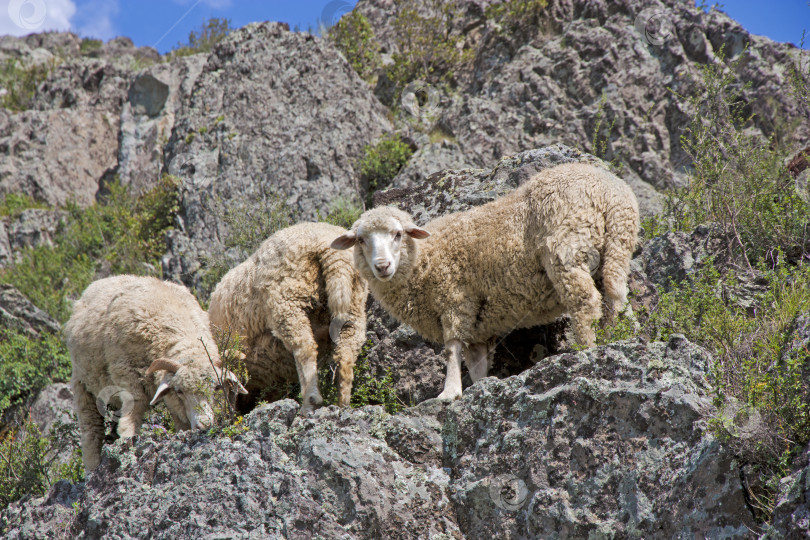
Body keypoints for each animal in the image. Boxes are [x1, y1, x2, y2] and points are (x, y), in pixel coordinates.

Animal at [65, 276, 246, 470]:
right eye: (180, 391)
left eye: (217, 388)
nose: (204, 424)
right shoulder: (126, 373)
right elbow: (132, 412)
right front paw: (128, 441)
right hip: (83, 385)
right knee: (91, 431)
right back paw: (93, 467)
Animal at [210, 221, 370, 416]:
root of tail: (327, 245)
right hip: (353, 308)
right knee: (346, 354)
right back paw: (343, 405)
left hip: (288, 302)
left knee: (305, 348)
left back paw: (310, 402)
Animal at [328, 160, 636, 400]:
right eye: (360, 240)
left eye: (398, 234)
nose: (382, 266)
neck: (424, 260)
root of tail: (611, 192)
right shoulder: (477, 327)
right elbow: (476, 363)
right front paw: (478, 387)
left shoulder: (455, 300)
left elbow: (452, 349)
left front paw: (449, 392)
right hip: (616, 249)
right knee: (616, 299)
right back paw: (616, 338)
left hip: (567, 249)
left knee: (585, 302)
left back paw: (586, 349)